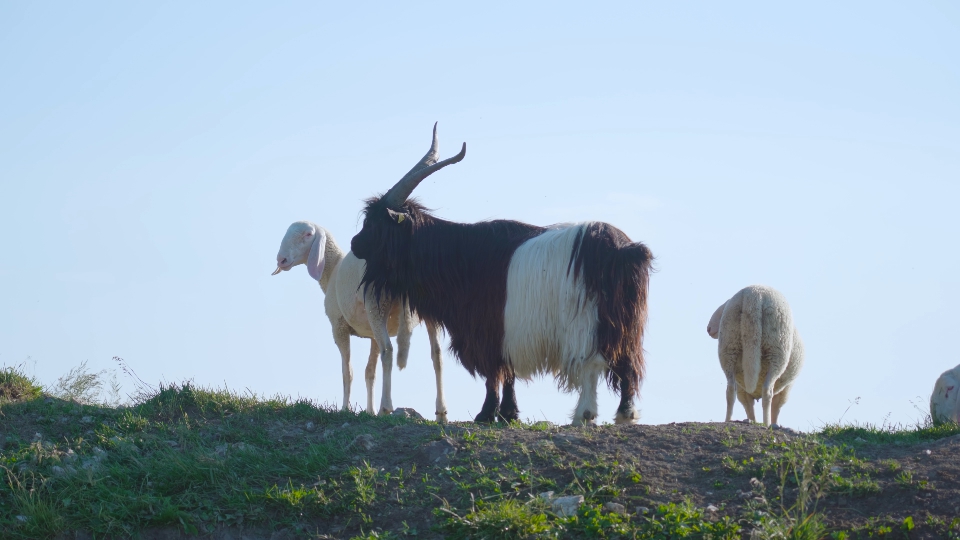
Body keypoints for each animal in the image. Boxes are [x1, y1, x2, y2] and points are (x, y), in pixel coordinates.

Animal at [272, 221, 448, 422]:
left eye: (308, 234)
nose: (281, 260)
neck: (332, 270)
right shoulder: (372, 335)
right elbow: (369, 372)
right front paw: (369, 410)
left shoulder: (338, 325)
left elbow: (347, 371)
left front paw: (345, 409)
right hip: (428, 308)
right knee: (437, 354)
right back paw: (441, 413)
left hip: (376, 304)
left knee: (388, 351)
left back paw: (385, 407)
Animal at [349, 124, 653, 425]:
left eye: (374, 223)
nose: (354, 243)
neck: (460, 255)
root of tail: (626, 250)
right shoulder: (505, 332)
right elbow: (507, 373)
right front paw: (508, 413)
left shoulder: (487, 329)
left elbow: (493, 372)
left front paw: (486, 413)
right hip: (625, 322)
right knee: (628, 360)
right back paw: (625, 414)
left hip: (586, 322)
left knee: (592, 363)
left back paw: (584, 414)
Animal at [707, 285, 804, 427]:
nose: (708, 328)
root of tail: (754, 294)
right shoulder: (786, 389)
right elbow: (776, 407)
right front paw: (773, 423)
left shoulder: (743, 388)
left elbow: (749, 406)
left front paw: (752, 420)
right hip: (777, 349)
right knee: (767, 391)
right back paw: (767, 424)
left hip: (729, 345)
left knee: (730, 389)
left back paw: (728, 420)